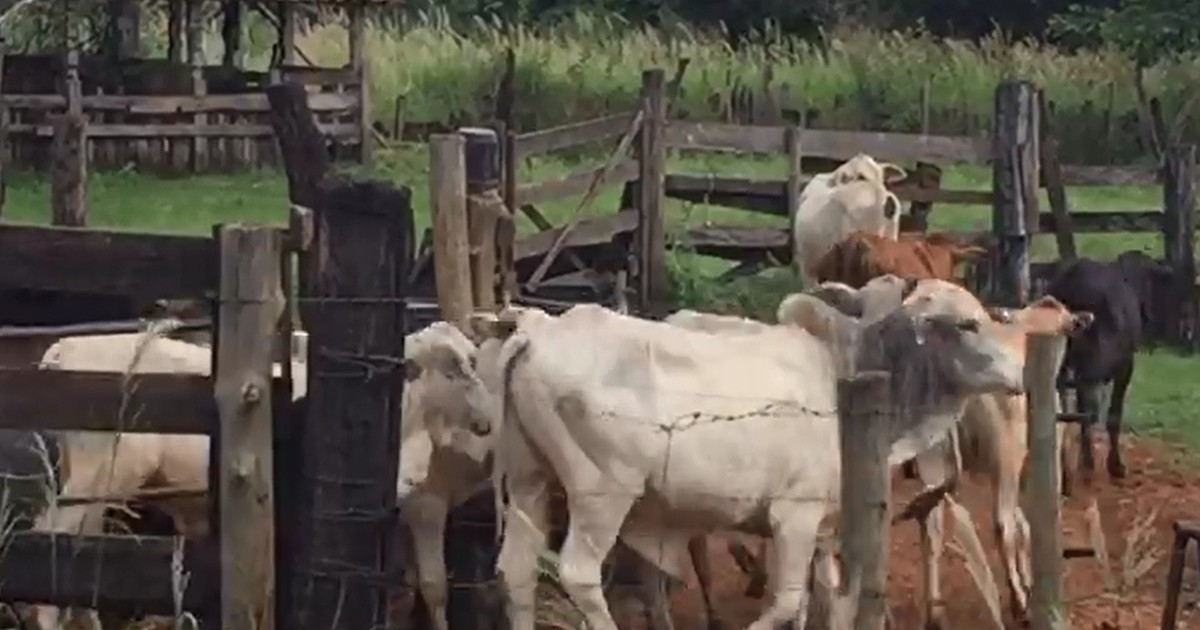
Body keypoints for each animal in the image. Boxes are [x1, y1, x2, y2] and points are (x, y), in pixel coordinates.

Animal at [482, 297, 1027, 628]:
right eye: (968, 324)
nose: (1020, 375)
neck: (846, 372)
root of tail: (537, 330)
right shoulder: (794, 516)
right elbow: (785, 602)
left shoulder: (819, 529)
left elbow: (821, 600)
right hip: (603, 495)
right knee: (578, 573)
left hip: (529, 481)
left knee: (516, 570)